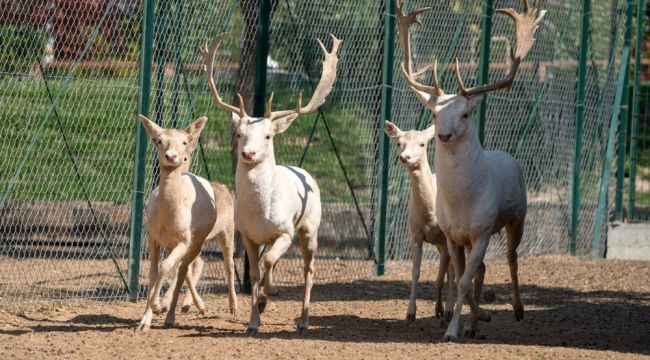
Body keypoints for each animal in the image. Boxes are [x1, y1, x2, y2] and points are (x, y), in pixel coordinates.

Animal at [394, 0, 540, 340]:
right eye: (435, 114)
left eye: (465, 113)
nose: (444, 135)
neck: (462, 203)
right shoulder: (453, 235)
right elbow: (461, 277)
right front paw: (472, 317)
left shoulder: (483, 230)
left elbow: (462, 281)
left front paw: (453, 330)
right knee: (481, 270)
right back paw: (476, 323)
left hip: (518, 216)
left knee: (512, 258)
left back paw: (518, 310)